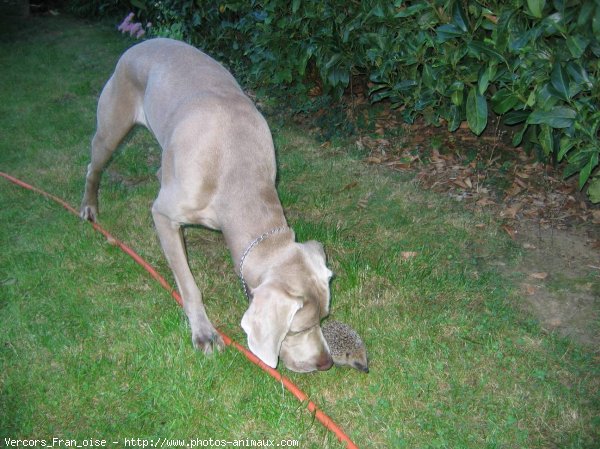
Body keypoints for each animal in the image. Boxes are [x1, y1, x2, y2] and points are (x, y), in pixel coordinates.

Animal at [79, 38, 332, 372]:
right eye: (297, 329)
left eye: (325, 318)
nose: (326, 363)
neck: (237, 170)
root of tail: (141, 43)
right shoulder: (163, 215)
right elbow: (188, 284)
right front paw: (204, 333)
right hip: (111, 127)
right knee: (93, 167)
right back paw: (89, 206)